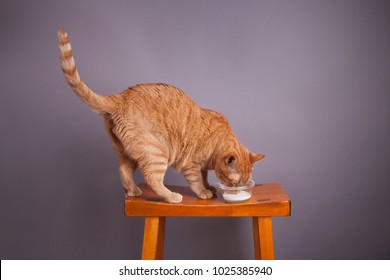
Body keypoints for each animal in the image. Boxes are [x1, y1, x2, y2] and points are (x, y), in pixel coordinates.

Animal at [58, 27, 266, 203]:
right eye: (233, 184)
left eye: (241, 185)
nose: (236, 193)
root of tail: (120, 97)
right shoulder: (191, 165)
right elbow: (197, 181)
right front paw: (204, 192)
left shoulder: (202, 166)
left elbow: (205, 176)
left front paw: (209, 186)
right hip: (156, 152)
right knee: (153, 179)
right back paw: (171, 196)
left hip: (126, 152)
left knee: (124, 171)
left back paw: (132, 191)